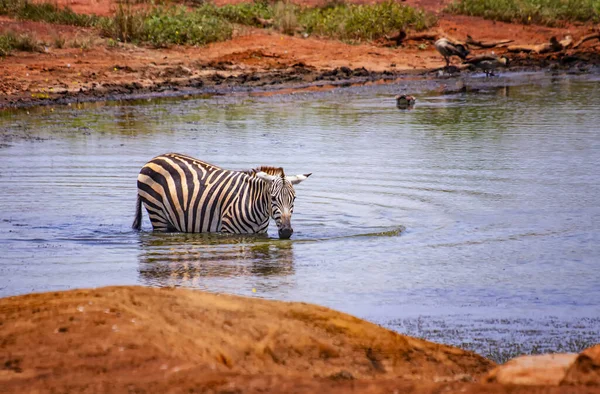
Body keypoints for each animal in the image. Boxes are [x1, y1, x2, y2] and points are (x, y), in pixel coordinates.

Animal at [131, 153, 310, 240]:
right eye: (273, 198)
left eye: (294, 199)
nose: (286, 232)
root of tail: (154, 159)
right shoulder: (228, 231)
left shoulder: (260, 234)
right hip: (156, 213)